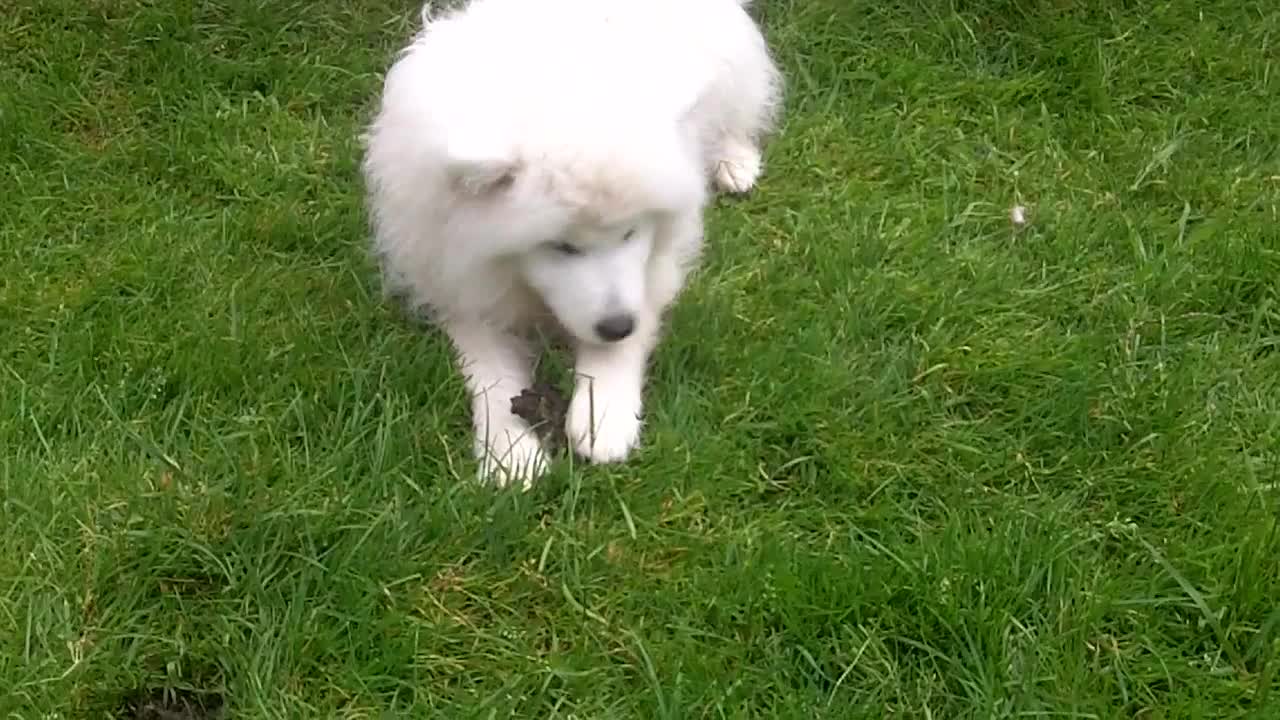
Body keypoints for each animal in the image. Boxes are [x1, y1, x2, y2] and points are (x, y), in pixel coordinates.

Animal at [358, 0, 778, 486]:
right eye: (560, 247)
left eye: (632, 232)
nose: (618, 326)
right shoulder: (454, 278)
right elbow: (489, 372)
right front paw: (511, 451)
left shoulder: (652, 267)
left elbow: (621, 339)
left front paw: (604, 415)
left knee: (740, 110)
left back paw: (733, 161)